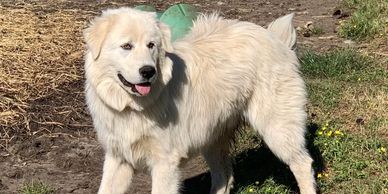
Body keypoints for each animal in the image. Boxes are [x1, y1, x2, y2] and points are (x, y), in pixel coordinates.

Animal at [84, 7, 316, 194]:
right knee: (224, 176)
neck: (132, 106)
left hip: (277, 129)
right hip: (211, 138)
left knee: (303, 163)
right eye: (126, 46)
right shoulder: (118, 159)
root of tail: (275, 38)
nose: (148, 71)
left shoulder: (165, 163)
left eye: (151, 45)